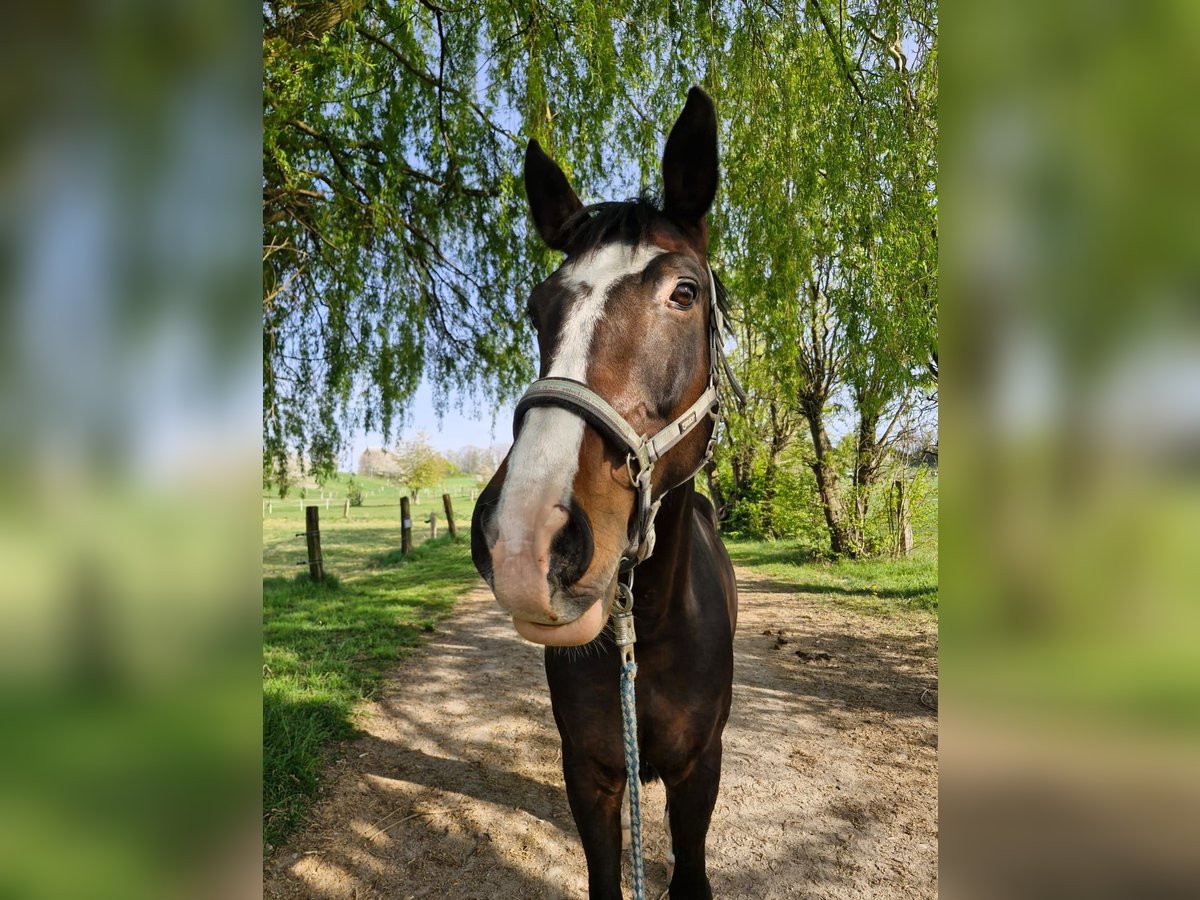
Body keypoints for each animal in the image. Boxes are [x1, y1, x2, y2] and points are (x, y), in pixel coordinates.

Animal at [470, 87, 738, 900]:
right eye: (537, 307)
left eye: (685, 293)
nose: (526, 541)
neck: (646, 635)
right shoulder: (589, 773)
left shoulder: (697, 772)